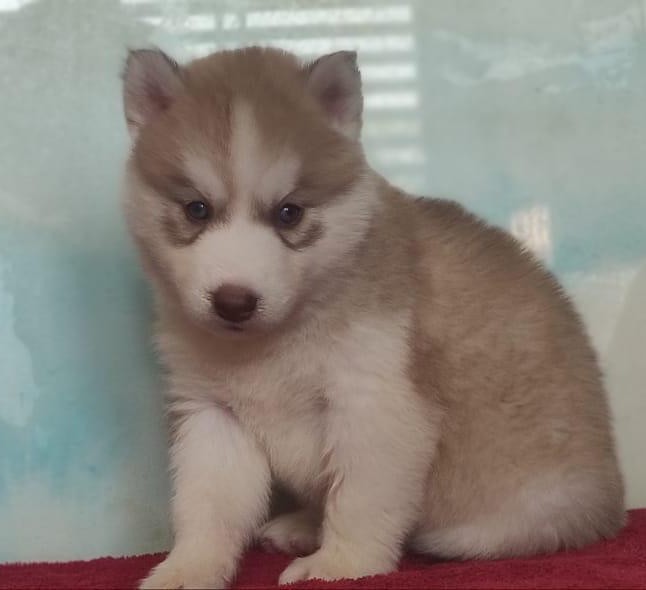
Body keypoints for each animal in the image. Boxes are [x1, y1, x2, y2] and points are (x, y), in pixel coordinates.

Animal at [119, 47, 624, 590]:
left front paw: (341, 565)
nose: (234, 301)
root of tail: (611, 502)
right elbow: (206, 506)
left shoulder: (375, 405)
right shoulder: (213, 415)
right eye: (196, 209)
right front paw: (187, 568)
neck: (274, 341)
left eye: (290, 213)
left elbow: (359, 500)